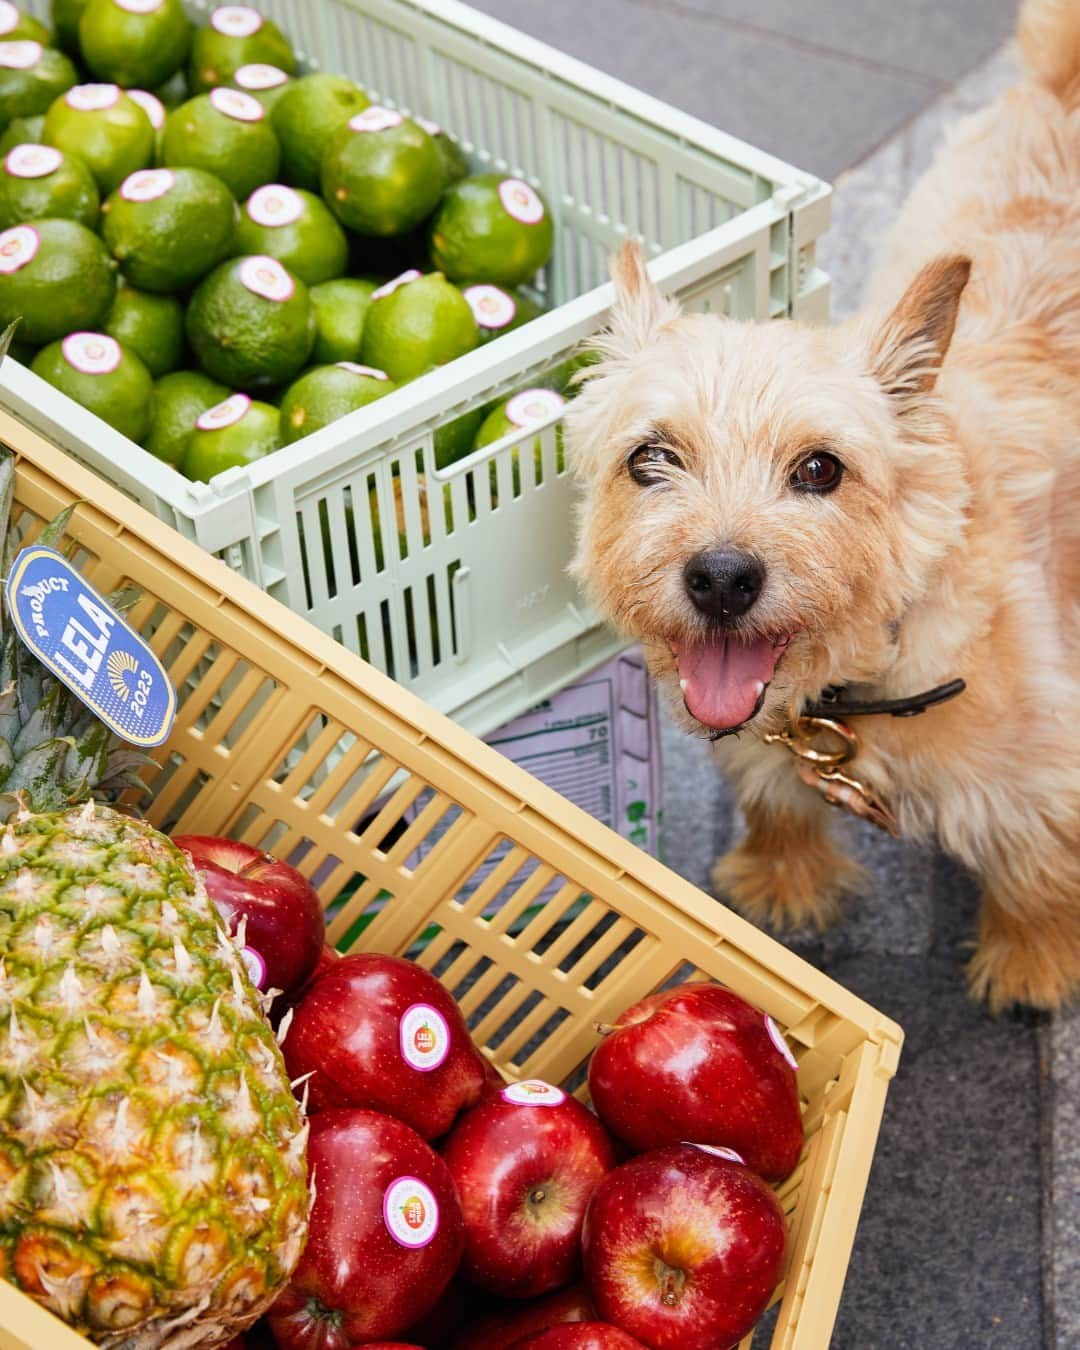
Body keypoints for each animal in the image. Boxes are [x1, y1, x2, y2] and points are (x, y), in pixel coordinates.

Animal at [564, 0, 1080, 1015]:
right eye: (651, 457)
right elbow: (773, 797)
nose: (721, 579)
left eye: (819, 470)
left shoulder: (1046, 770)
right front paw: (782, 883)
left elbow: (1038, 863)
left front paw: (1035, 963)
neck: (868, 671)